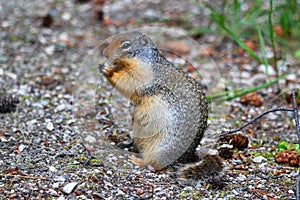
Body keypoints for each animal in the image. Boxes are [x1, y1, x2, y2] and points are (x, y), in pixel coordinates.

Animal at [99, 30, 224, 178]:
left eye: (126, 45)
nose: (105, 53)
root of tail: (186, 158)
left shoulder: (143, 75)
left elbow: (129, 83)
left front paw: (108, 71)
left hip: (159, 148)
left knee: (154, 163)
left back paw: (137, 160)